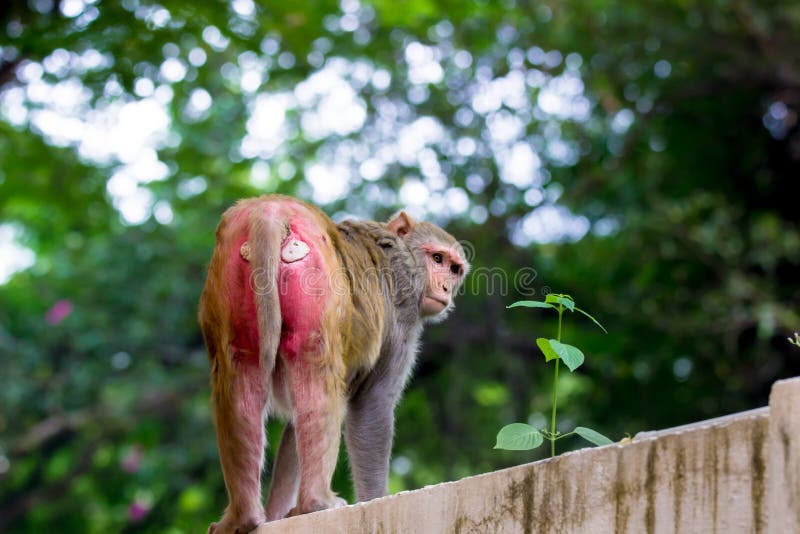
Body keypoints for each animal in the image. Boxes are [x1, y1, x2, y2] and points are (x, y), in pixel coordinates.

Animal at [199, 197, 468, 534]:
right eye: (437, 258)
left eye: (454, 269)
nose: (445, 288)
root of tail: (271, 208)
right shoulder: (403, 315)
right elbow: (373, 404)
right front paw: (374, 499)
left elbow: (293, 429)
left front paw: (278, 512)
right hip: (313, 279)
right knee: (316, 367)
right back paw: (317, 502)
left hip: (230, 276)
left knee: (241, 374)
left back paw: (243, 517)